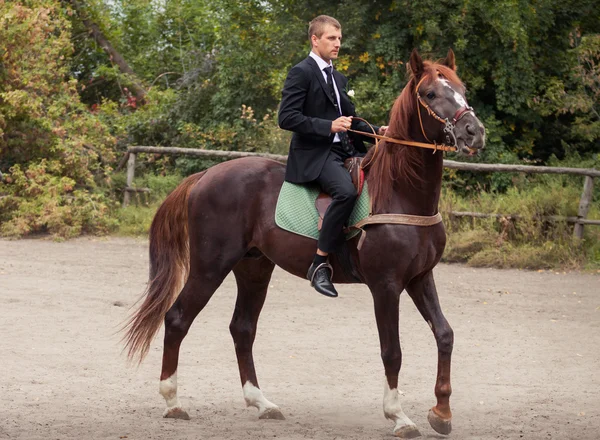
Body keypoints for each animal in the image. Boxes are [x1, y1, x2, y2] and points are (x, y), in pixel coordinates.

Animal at [123, 49, 488, 438]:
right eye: (430, 94)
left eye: (462, 89)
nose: (474, 131)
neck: (400, 193)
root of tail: (205, 174)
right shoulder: (386, 286)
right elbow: (393, 351)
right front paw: (399, 416)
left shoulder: (421, 278)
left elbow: (445, 334)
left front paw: (442, 412)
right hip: (210, 266)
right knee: (177, 318)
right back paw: (173, 402)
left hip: (253, 268)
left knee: (242, 328)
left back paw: (261, 403)